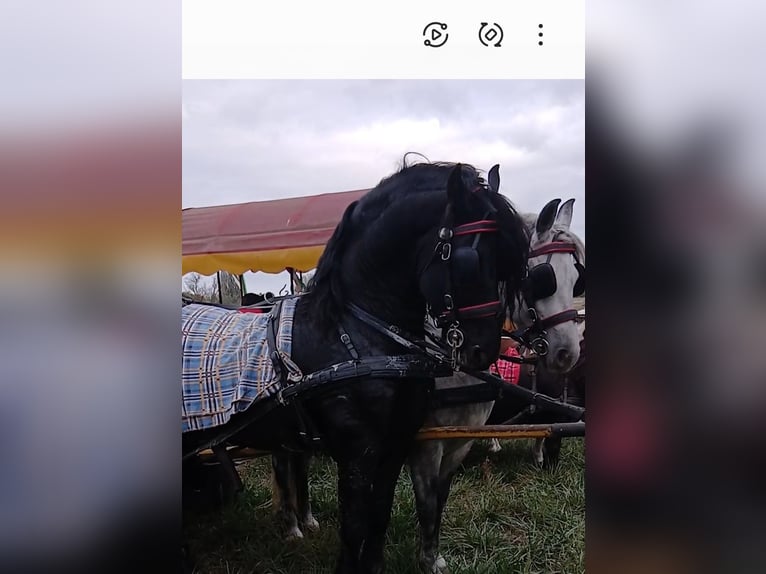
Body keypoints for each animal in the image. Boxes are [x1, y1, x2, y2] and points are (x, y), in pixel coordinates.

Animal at [181, 160, 529, 574]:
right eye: (471, 261)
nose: (483, 350)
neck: (356, 335)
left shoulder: (395, 445)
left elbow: (379, 516)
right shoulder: (357, 452)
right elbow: (354, 527)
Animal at [407, 193, 585, 574]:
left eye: (577, 279)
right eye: (540, 279)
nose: (567, 352)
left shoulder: (460, 438)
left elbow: (440, 499)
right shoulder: (426, 443)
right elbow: (426, 503)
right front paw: (428, 560)